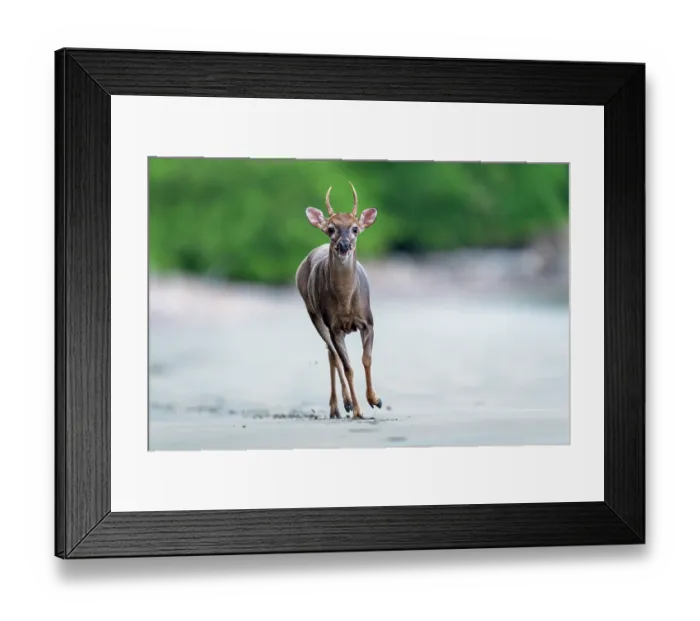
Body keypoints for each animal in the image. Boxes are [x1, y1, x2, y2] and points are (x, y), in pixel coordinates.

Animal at [295, 182, 382, 420]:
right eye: (331, 228)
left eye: (355, 228)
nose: (344, 246)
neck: (345, 302)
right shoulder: (334, 326)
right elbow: (348, 367)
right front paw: (358, 409)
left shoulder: (368, 322)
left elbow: (366, 359)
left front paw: (375, 400)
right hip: (314, 313)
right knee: (332, 355)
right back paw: (341, 405)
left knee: (330, 354)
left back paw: (340, 406)